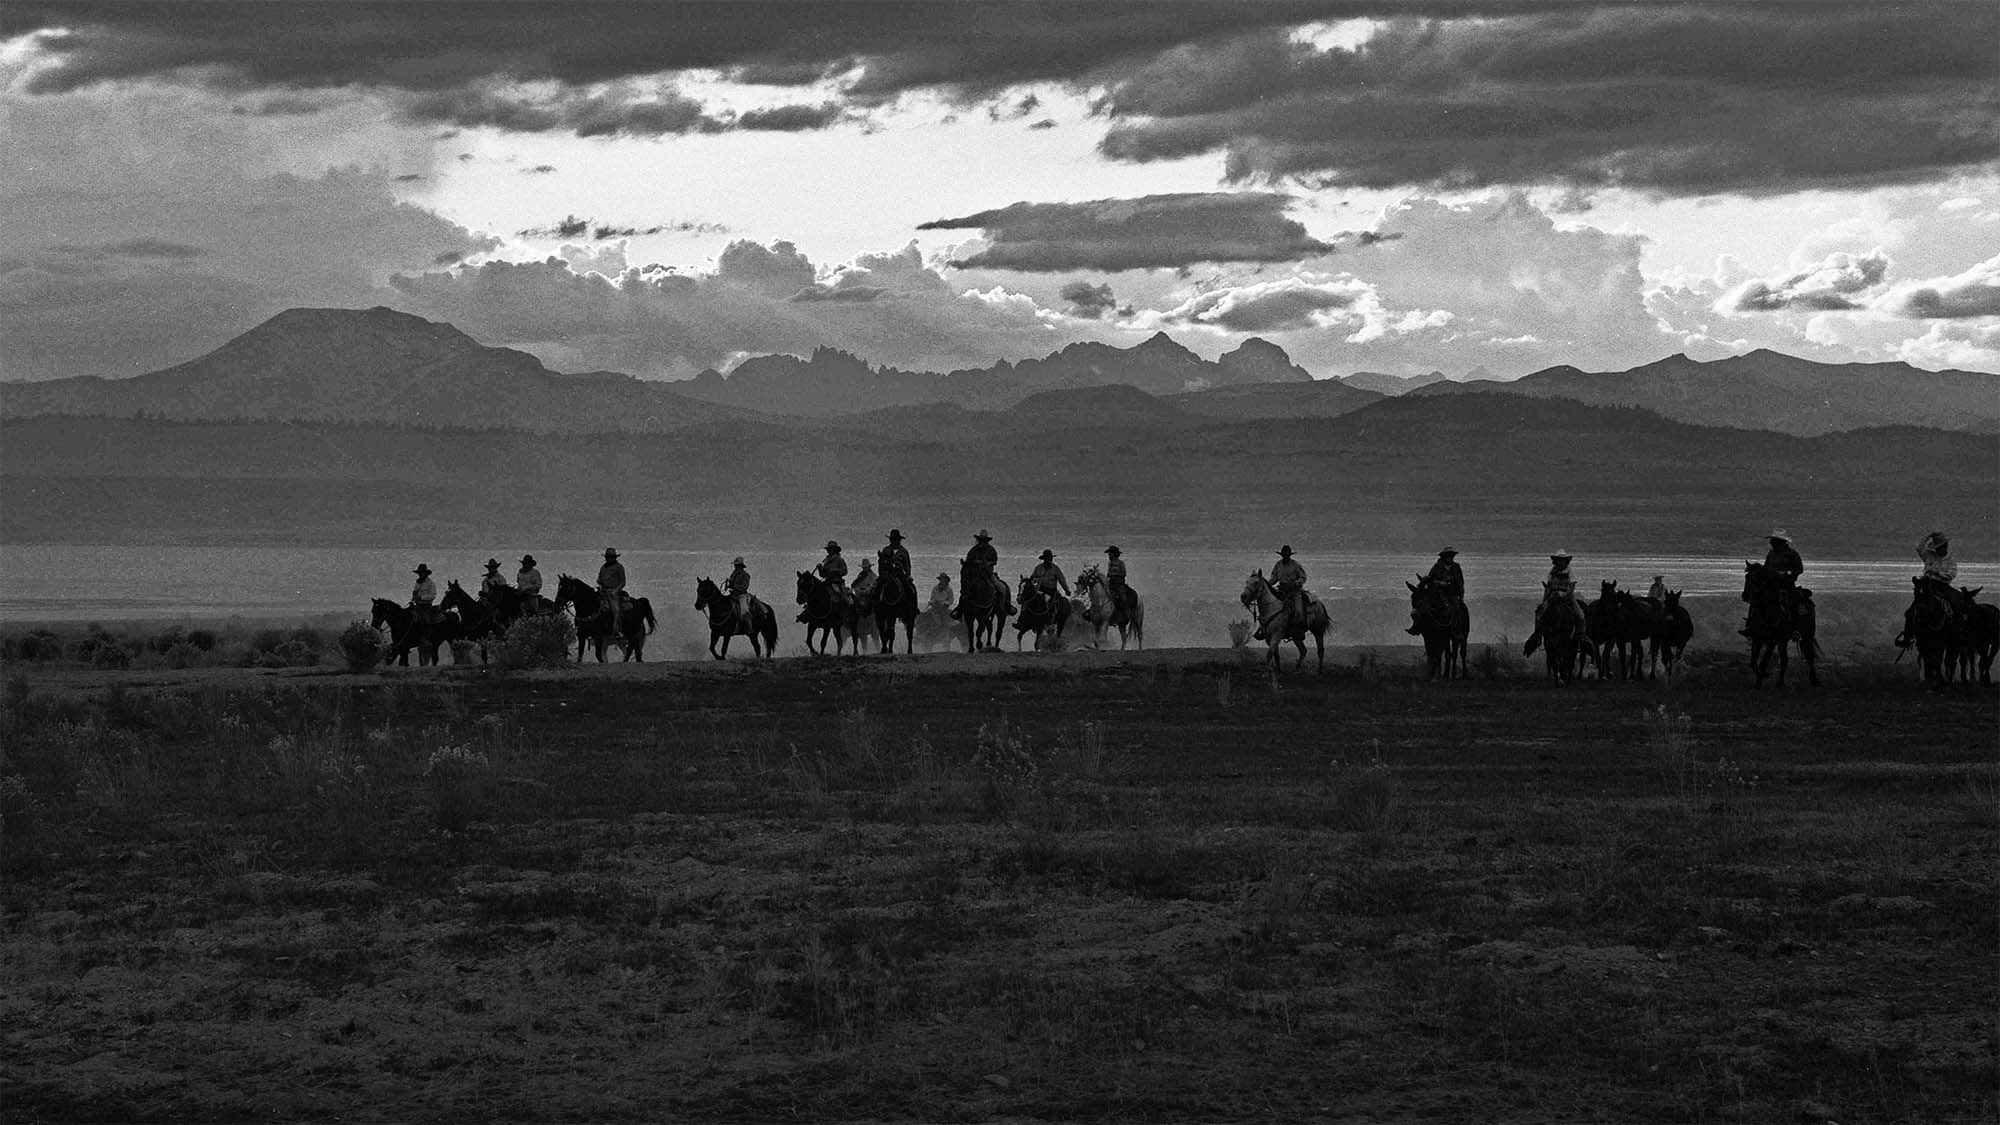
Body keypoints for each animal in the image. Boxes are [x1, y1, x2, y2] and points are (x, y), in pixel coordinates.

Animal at [1744, 556, 1824, 684]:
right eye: (1746, 577)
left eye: (1756, 579)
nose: (1745, 596)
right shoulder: (1758, 638)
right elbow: (1753, 662)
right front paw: (1760, 679)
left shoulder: (1773, 641)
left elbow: (1764, 662)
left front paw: (1763, 675)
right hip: (1784, 640)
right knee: (1785, 659)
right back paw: (1780, 682)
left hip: (1807, 635)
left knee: (1809, 656)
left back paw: (1813, 680)